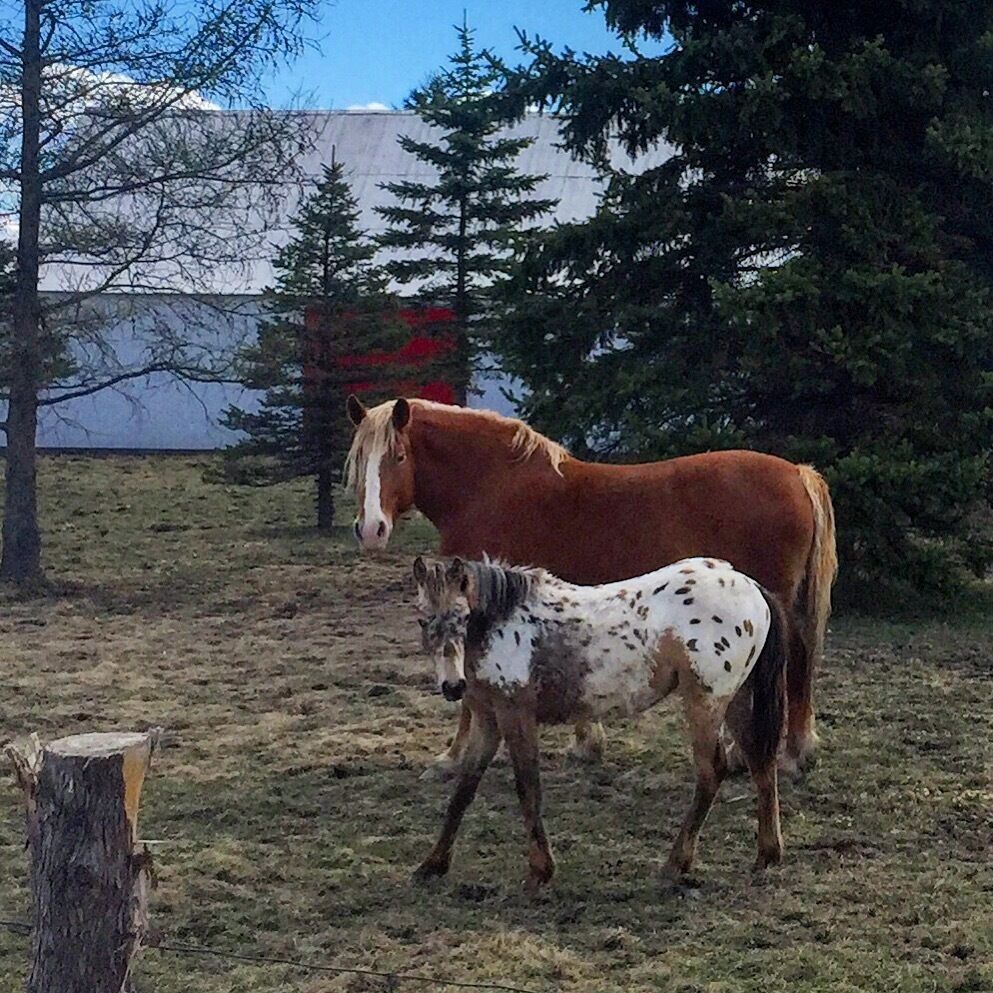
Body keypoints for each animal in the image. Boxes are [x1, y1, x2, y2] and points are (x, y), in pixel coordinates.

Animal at [346, 395, 836, 776]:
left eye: (398, 457)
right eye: (358, 461)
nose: (370, 529)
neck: (490, 488)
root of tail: (797, 473)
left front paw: (452, 756)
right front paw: (586, 742)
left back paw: (785, 754)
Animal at [410, 555, 789, 890]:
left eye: (463, 615)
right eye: (422, 619)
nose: (452, 686)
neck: (502, 625)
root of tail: (751, 586)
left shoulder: (515, 714)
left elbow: (528, 788)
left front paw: (539, 871)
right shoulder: (487, 720)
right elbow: (464, 790)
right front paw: (431, 865)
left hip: (705, 702)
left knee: (712, 772)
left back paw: (675, 864)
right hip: (736, 700)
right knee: (761, 763)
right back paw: (767, 855)